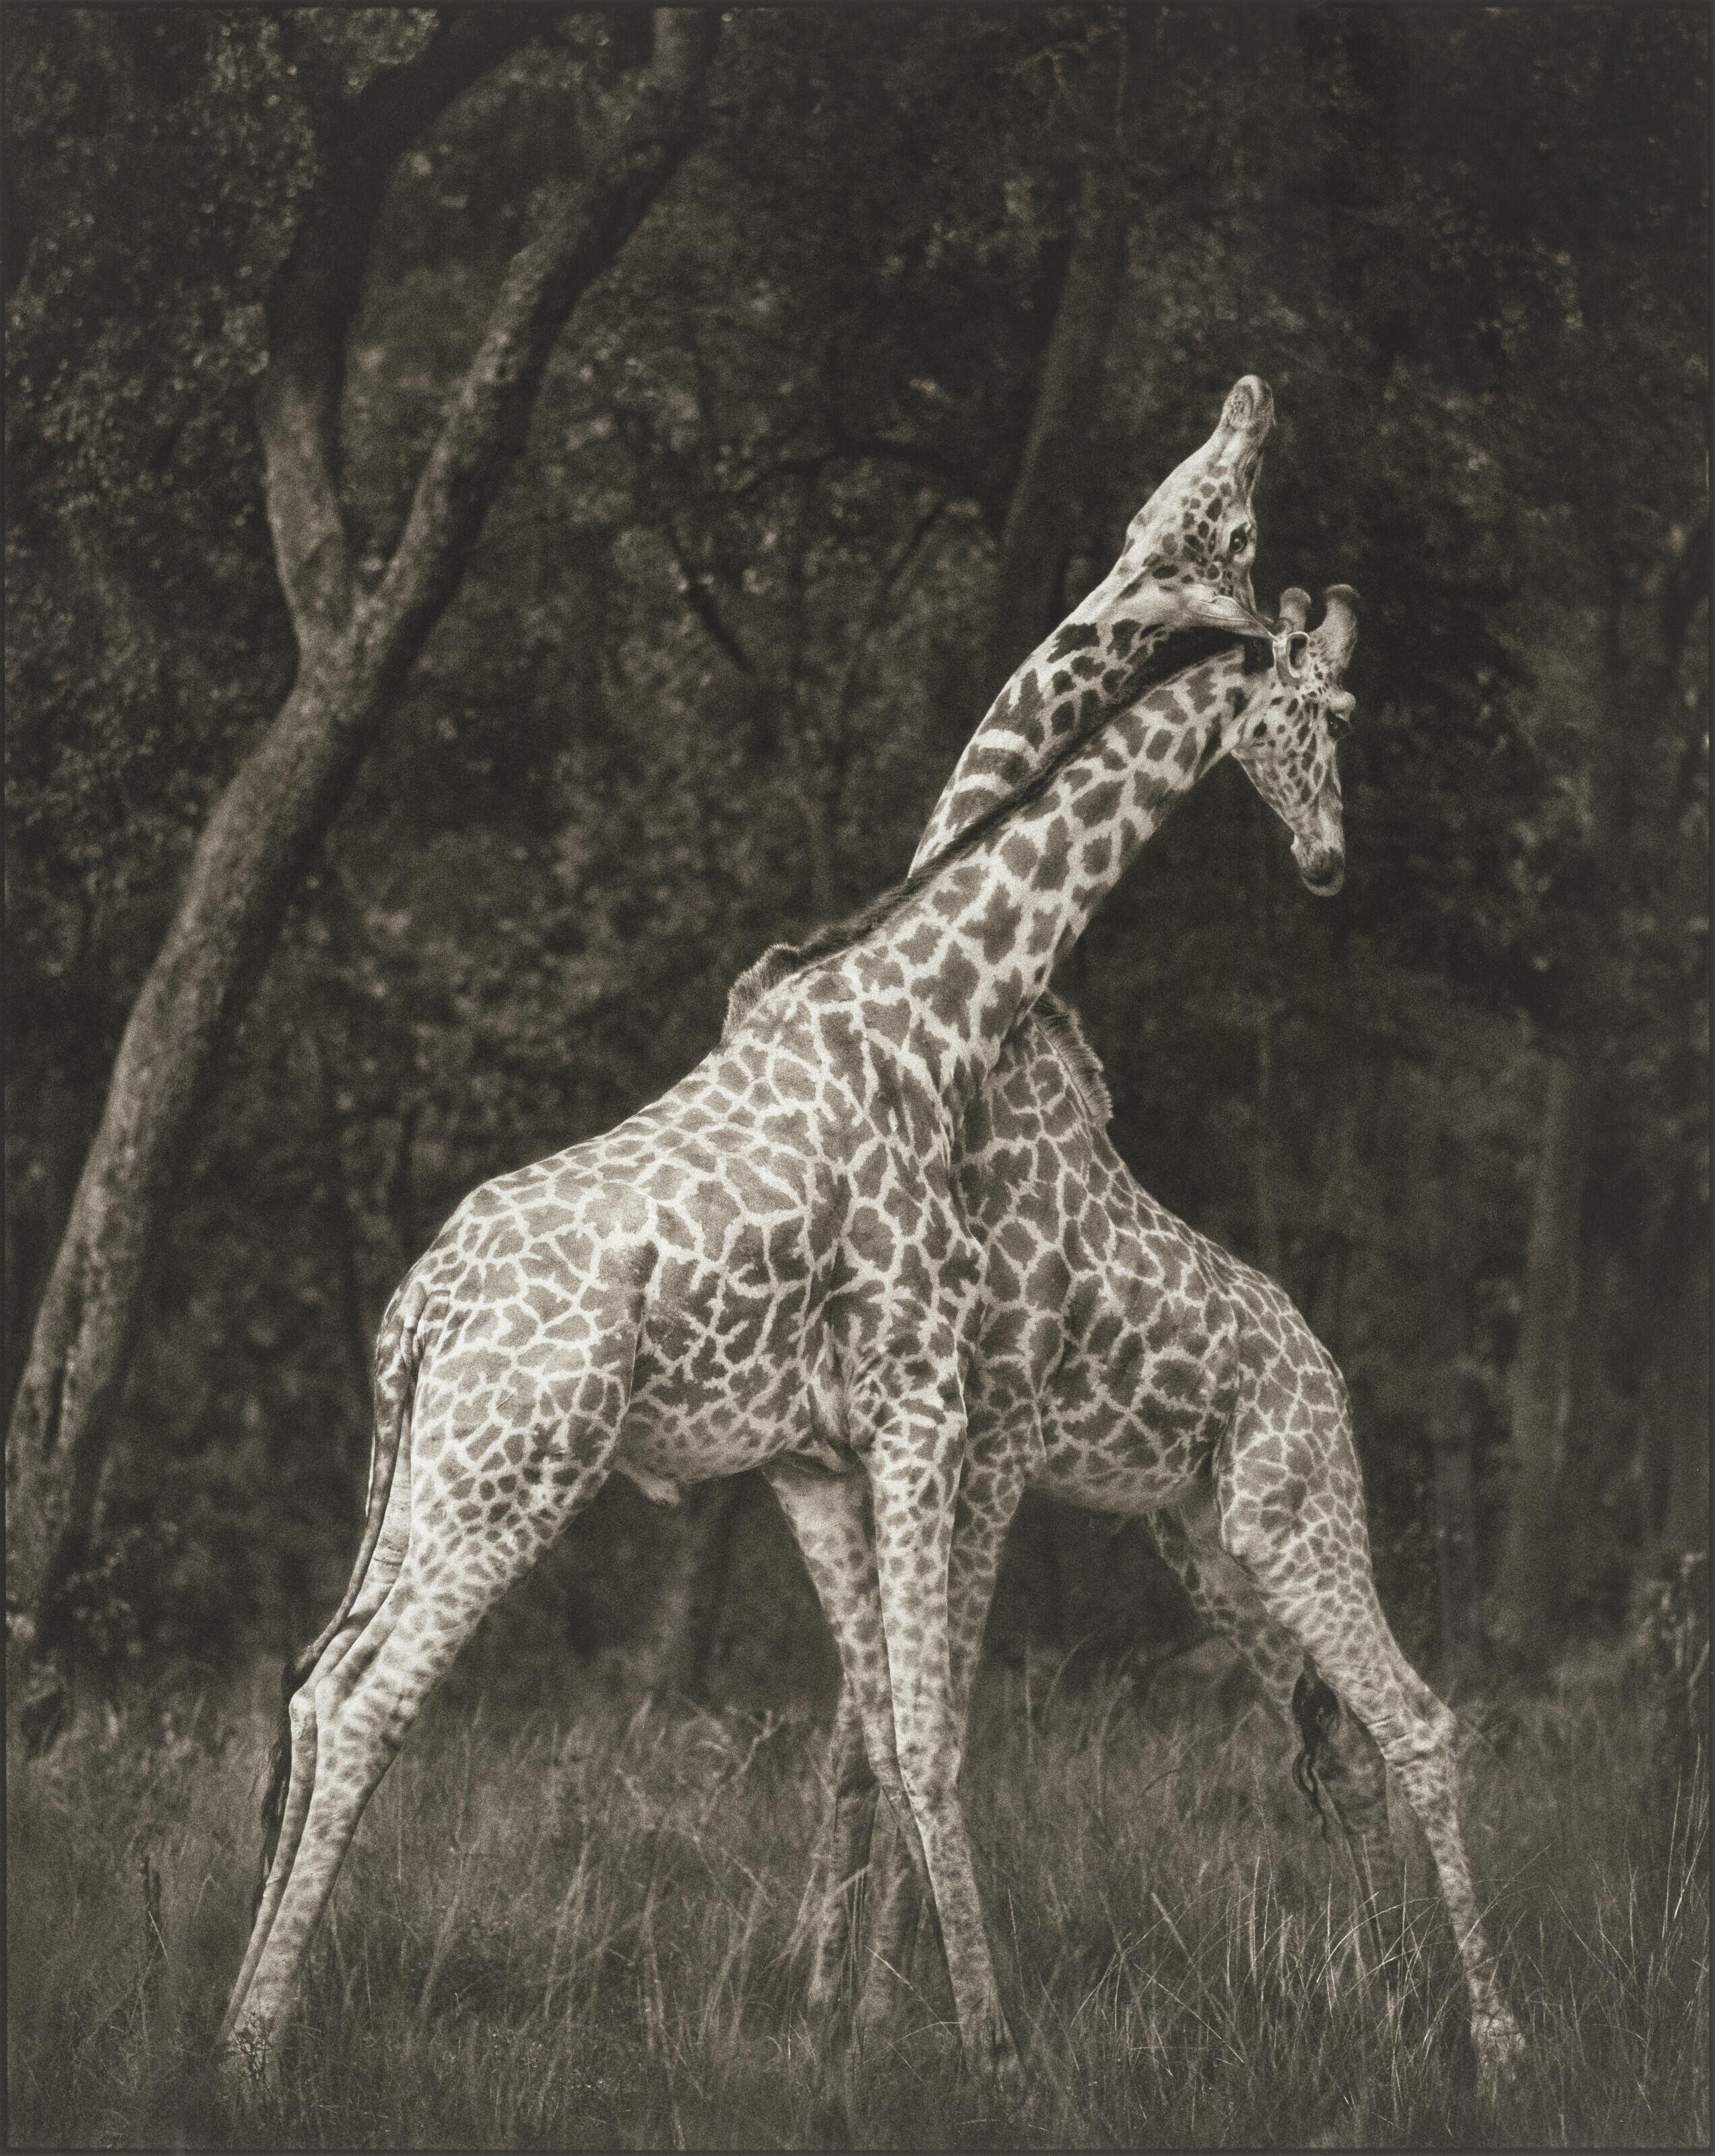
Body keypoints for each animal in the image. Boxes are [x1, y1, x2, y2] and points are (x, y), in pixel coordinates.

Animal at [216, 412, 1285, 2084]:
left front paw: (847, 2021)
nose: (1252, 401)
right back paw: (257, 2047)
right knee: (371, 1700)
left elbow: (872, 1736)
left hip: (434, 1476)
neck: (938, 1008)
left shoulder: (837, 1448)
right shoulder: (930, 1413)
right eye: (1211, 513)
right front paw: (954, 2036)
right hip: (511, 1474)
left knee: (319, 1686)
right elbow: (910, 1731)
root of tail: (415, 1313)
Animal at [736, 585, 1525, 2087]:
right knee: (1333, 1751)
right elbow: (872, 1734)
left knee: (1415, 1720)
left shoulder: (983, 1436)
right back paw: (1395, 2008)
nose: (1327, 861)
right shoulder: (934, 1438)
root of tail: (1327, 1378)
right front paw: (842, 2015)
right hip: (1217, 1549)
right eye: (1329, 713)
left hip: (1298, 1520)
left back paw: (1498, 2041)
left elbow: (922, 1724)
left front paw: (886, 2015)